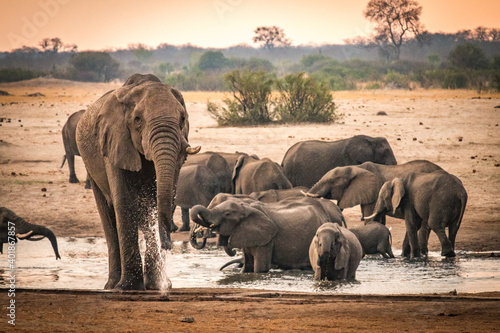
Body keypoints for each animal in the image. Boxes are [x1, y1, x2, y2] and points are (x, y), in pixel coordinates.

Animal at [75, 72, 199, 288]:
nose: (168, 244)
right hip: (90, 164)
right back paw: (112, 285)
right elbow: (124, 203)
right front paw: (128, 287)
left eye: (183, 118)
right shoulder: (115, 142)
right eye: (138, 119)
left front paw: (156, 285)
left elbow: (158, 201)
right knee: (109, 216)